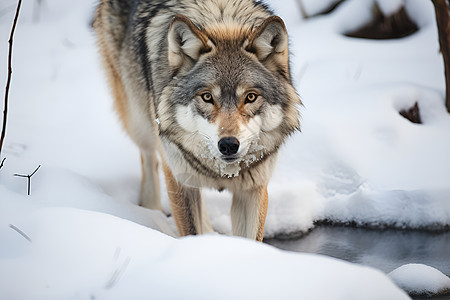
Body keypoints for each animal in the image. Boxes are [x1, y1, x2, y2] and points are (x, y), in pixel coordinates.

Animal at [92, 0, 298, 241]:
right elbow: (190, 230)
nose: (229, 145)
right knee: (148, 157)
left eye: (250, 97)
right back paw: (150, 213)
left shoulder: (253, 189)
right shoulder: (180, 182)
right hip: (137, 118)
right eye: (207, 97)